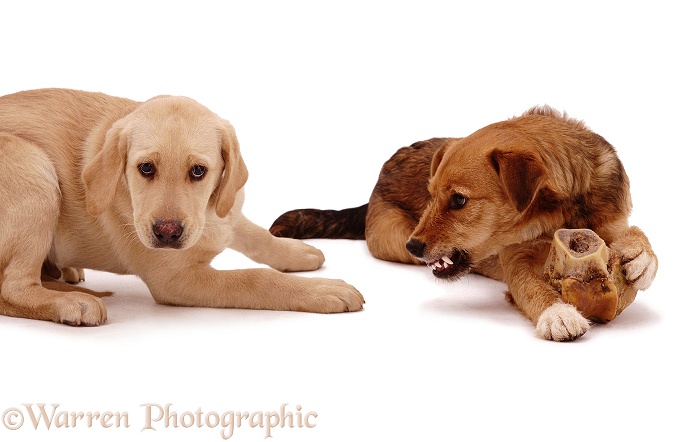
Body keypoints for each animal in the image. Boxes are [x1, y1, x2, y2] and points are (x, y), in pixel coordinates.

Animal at [0, 89, 368, 324]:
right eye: (146, 168)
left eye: (198, 171)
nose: (167, 233)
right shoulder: (176, 279)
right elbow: (255, 279)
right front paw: (322, 289)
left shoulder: (226, 212)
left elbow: (257, 235)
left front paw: (296, 250)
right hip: (33, 169)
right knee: (12, 288)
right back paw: (69, 301)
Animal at [272, 107, 656, 342]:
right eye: (431, 196)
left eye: (458, 201)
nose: (415, 245)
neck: (563, 211)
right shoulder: (517, 260)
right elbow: (533, 288)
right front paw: (557, 313)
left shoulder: (611, 222)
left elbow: (635, 237)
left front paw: (641, 257)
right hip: (393, 239)